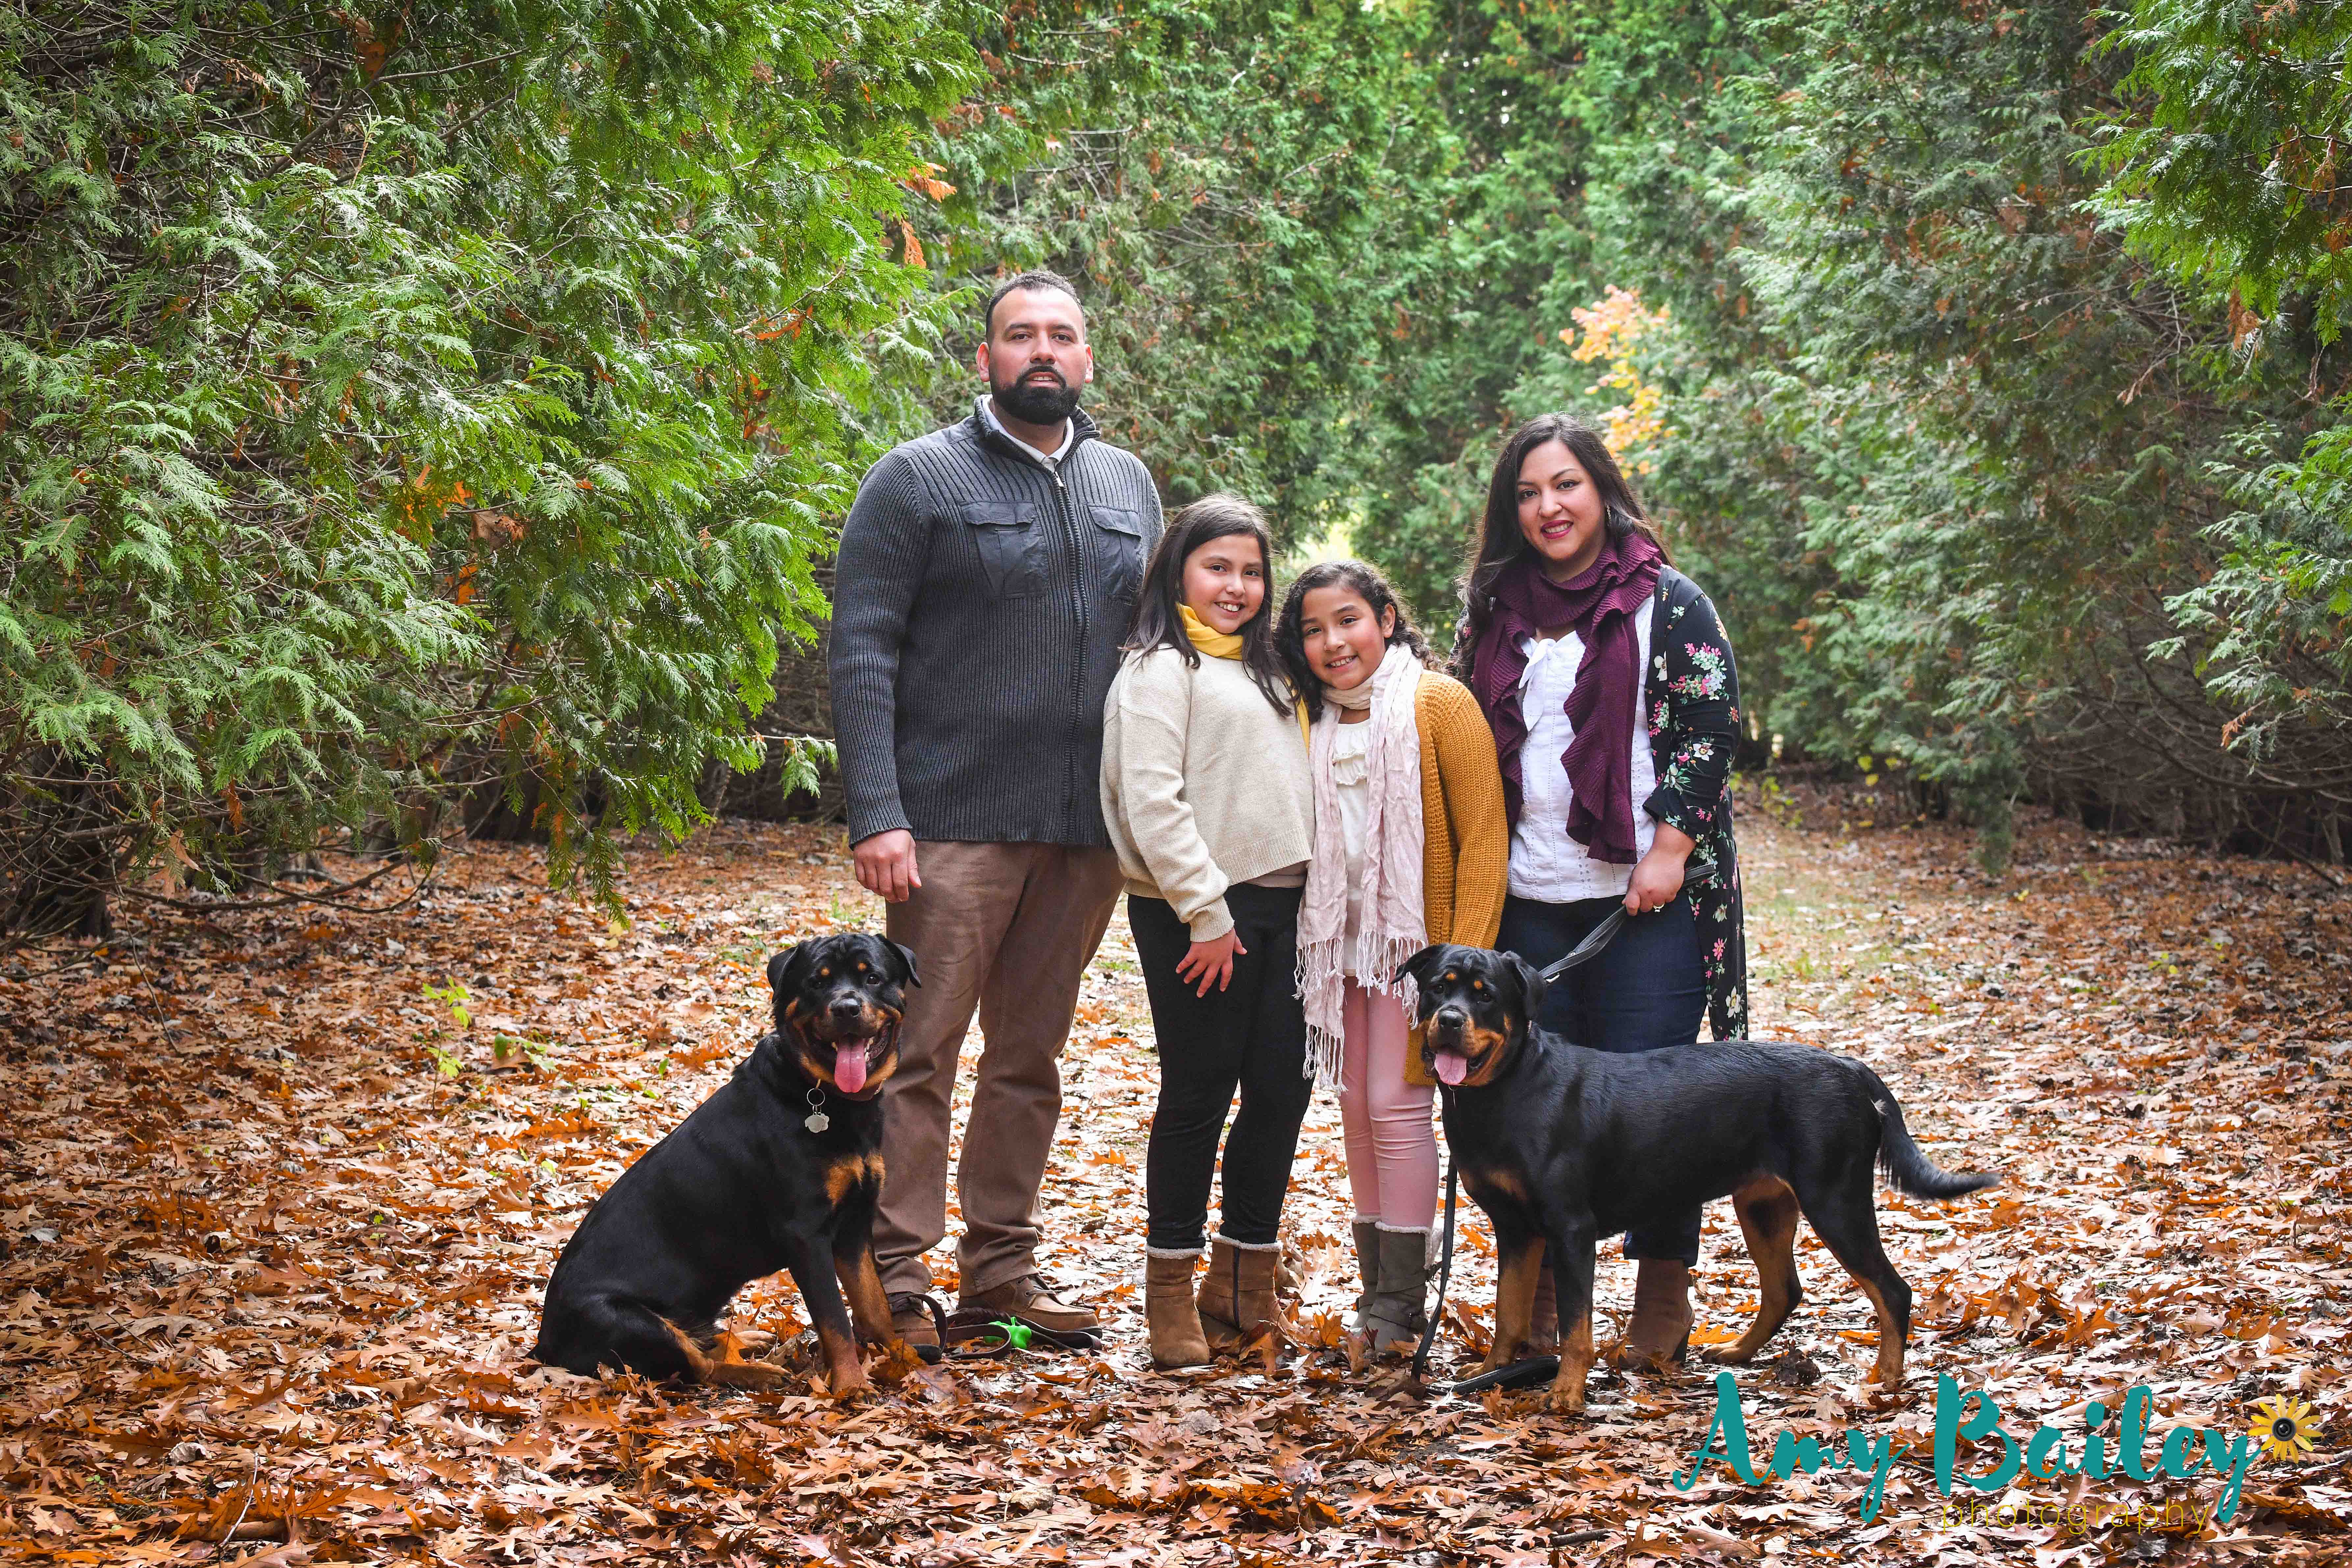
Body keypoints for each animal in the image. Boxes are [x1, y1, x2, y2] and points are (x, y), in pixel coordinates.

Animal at [533, 932, 918, 1393]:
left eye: (873, 978)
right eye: (817, 983)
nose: (846, 1007)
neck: (824, 1096)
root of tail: (545, 1344)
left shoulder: (856, 1226)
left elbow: (874, 1305)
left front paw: (901, 1358)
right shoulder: (806, 1235)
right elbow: (835, 1320)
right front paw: (852, 1386)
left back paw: (744, 1338)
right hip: (631, 1321)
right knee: (699, 1369)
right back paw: (757, 1371)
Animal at [1402, 943, 1996, 1416]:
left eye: (1486, 997)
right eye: (1437, 988)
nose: (1449, 1020)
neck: (1504, 1093)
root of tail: (1851, 1069)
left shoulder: (1569, 1228)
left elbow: (1575, 1325)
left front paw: (1566, 1392)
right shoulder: (1517, 1229)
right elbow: (1509, 1310)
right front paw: (1492, 1370)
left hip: (1835, 1199)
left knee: (1891, 1290)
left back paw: (1885, 1380)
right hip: (1763, 1205)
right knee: (1784, 1289)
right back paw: (1736, 1352)